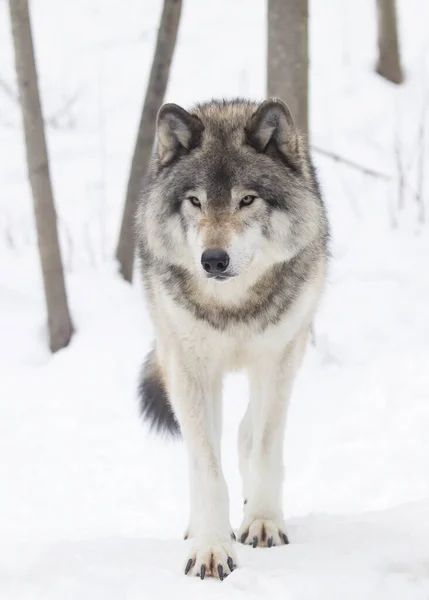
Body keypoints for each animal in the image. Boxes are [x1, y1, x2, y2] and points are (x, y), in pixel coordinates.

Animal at [135, 98, 330, 580]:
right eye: (195, 201)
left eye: (246, 200)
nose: (213, 260)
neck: (233, 308)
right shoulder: (190, 369)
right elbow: (206, 468)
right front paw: (211, 547)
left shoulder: (278, 359)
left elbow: (262, 446)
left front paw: (262, 522)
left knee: (247, 432)